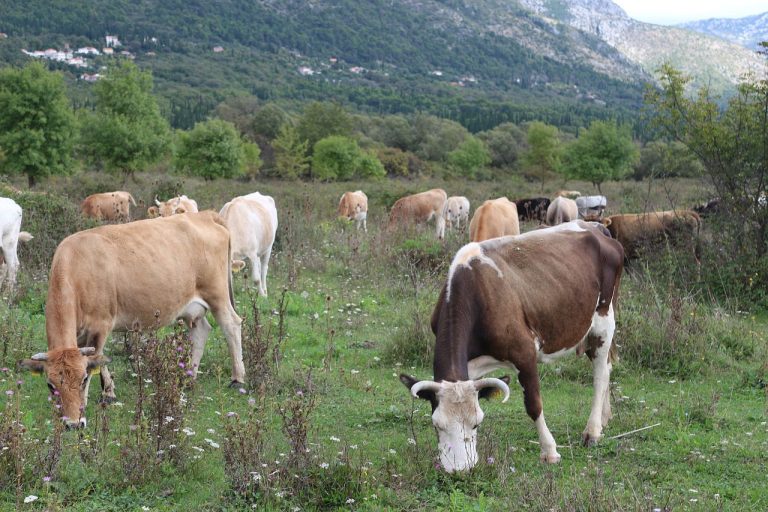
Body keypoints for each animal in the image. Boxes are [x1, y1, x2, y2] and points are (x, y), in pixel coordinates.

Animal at [402, 220, 624, 472]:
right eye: (437, 425)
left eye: (476, 424)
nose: (460, 469)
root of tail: (595, 226)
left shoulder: (524, 352)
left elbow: (534, 404)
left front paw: (550, 451)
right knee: (607, 367)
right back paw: (605, 417)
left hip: (603, 321)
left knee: (600, 375)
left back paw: (592, 430)